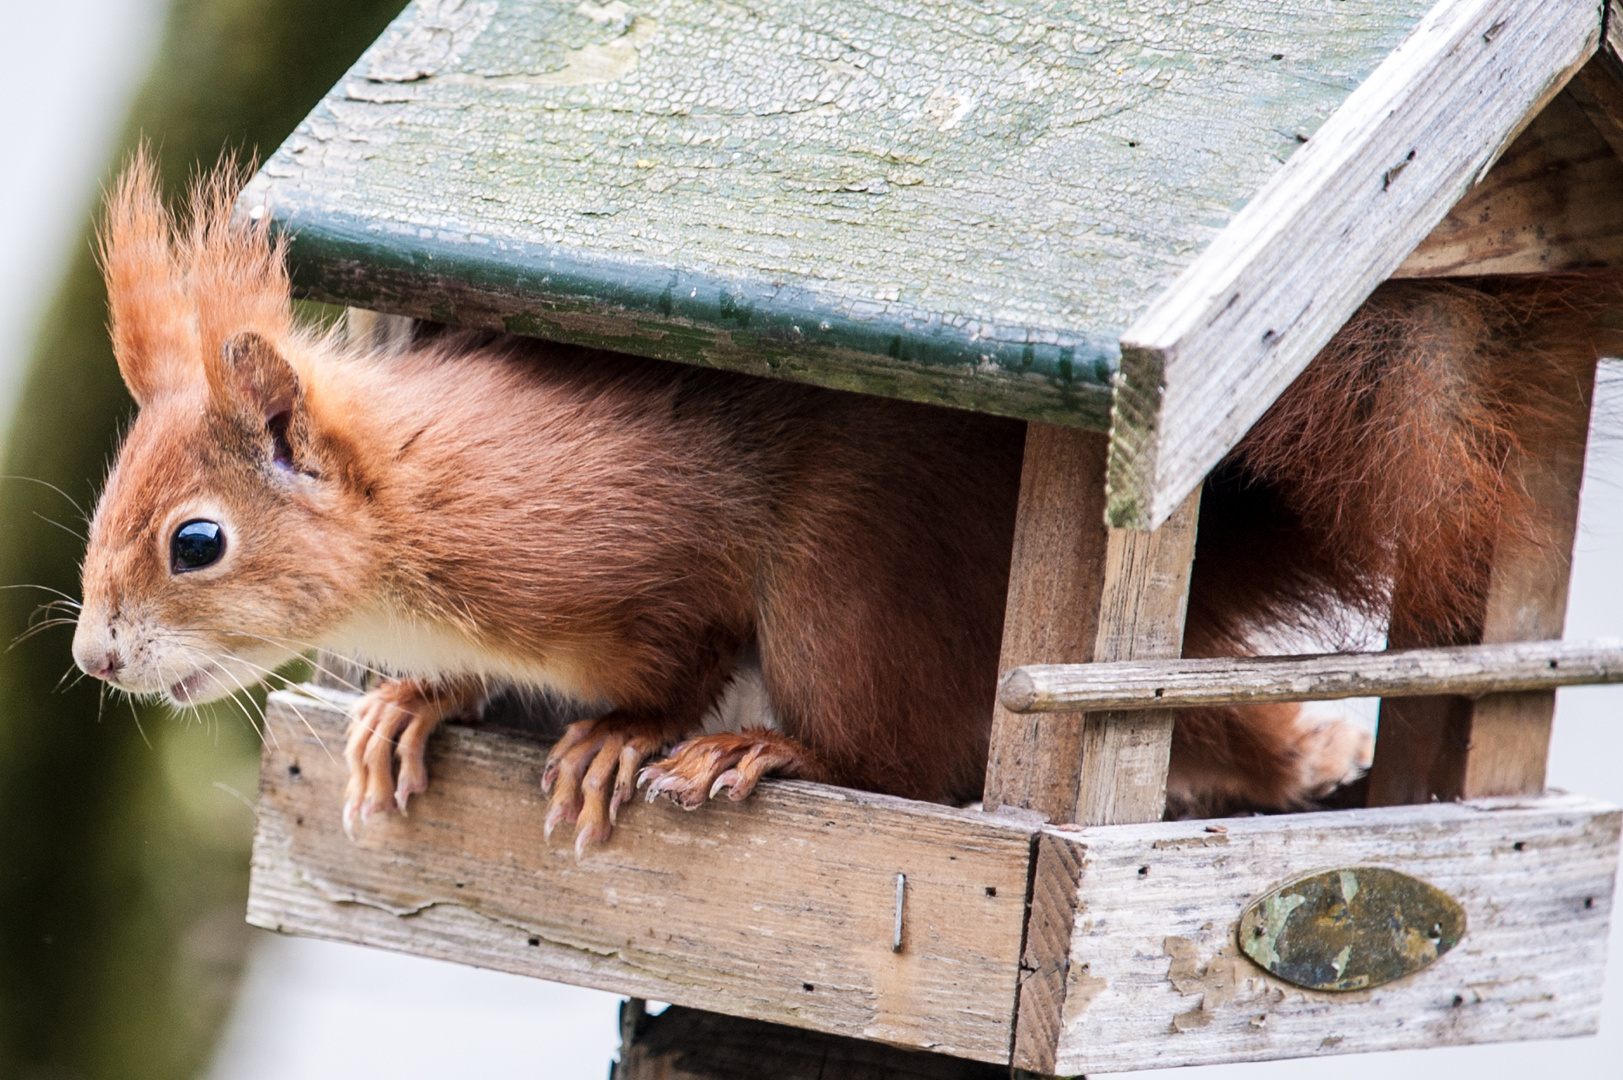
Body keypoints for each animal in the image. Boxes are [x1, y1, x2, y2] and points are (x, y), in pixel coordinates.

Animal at [73, 159, 1610, 851]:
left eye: (196, 543)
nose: (93, 656)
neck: (419, 540)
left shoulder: (634, 548)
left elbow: (680, 648)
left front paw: (618, 734)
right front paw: (409, 702)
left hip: (844, 590)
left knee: (896, 754)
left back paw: (762, 751)